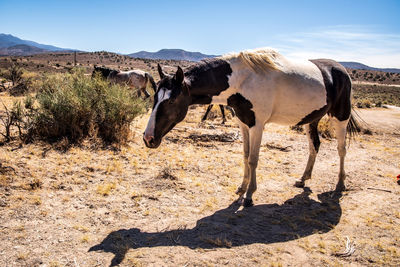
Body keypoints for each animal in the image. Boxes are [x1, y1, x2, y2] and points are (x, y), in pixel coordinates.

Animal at [143, 47, 360, 207]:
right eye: (154, 97)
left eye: (171, 101)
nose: (148, 138)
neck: (243, 79)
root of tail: (341, 70)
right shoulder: (244, 123)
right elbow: (246, 156)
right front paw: (241, 188)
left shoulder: (257, 125)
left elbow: (253, 159)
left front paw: (249, 195)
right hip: (311, 120)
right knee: (314, 146)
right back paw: (303, 178)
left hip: (341, 117)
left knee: (341, 149)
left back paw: (340, 183)